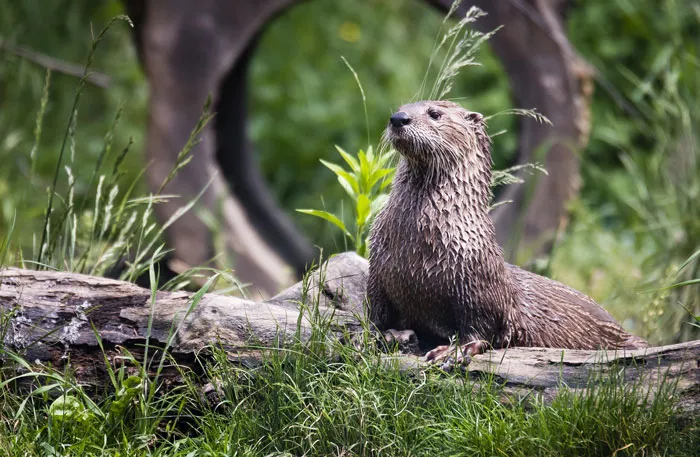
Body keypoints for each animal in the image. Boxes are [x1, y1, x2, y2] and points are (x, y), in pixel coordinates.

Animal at [367, 100, 647, 363]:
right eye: (401, 107)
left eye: (435, 113)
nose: (398, 118)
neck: (417, 247)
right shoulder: (378, 275)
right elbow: (378, 314)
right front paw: (384, 336)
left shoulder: (478, 286)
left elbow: (481, 328)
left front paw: (453, 351)